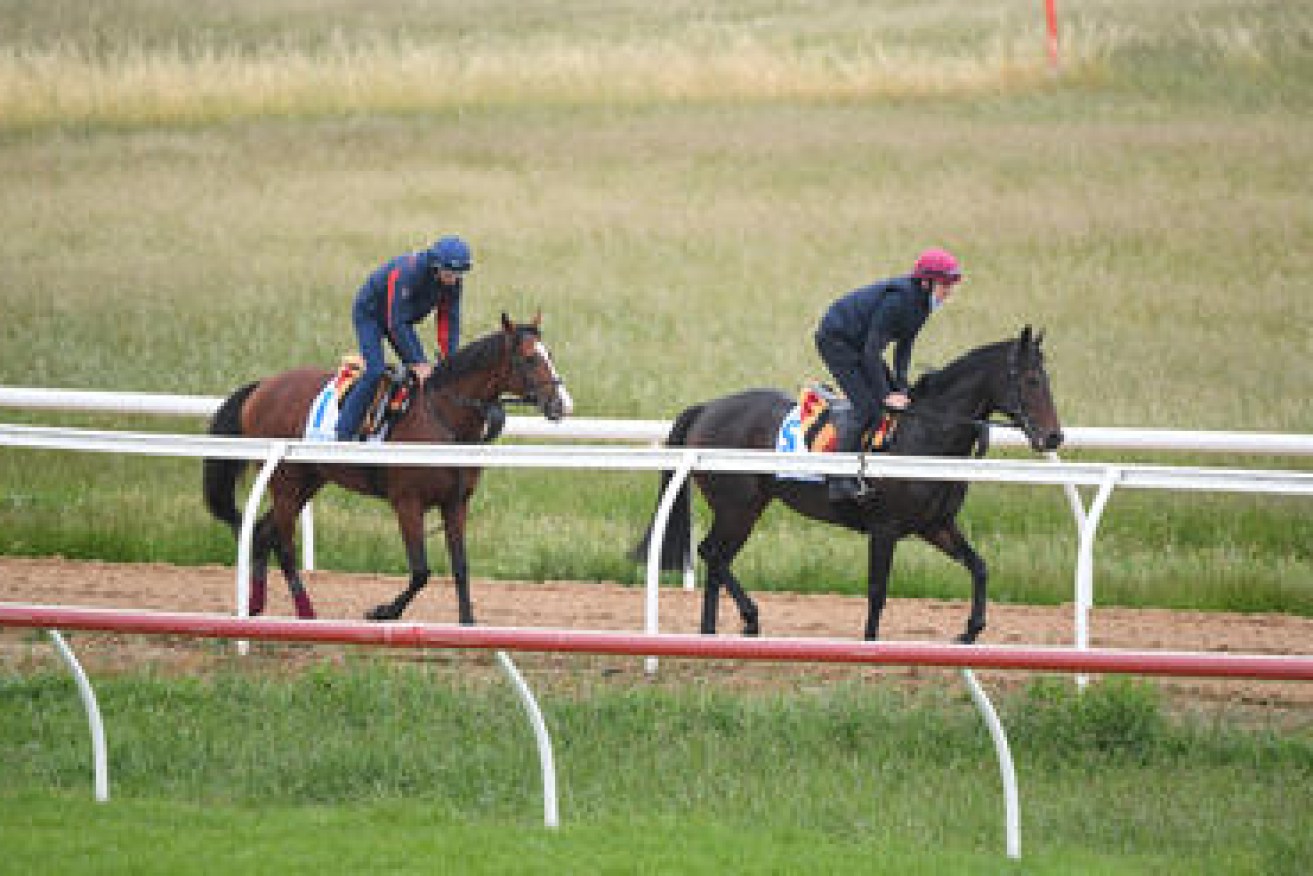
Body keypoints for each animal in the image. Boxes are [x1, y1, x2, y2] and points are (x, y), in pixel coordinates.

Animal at [202, 313, 572, 622]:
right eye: (530, 358)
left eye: (550, 354)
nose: (562, 405)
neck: (443, 418)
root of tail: (261, 386)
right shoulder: (407, 501)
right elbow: (421, 571)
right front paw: (384, 612)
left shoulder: (455, 502)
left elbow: (461, 567)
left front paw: (468, 624)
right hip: (286, 481)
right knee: (284, 544)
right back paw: (305, 614)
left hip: (308, 481)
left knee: (265, 533)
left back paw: (256, 607)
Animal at [638, 328, 1066, 643]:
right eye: (1031, 380)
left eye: (1048, 379)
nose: (1054, 437)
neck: (923, 435)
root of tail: (707, 408)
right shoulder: (885, 528)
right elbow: (877, 589)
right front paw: (871, 642)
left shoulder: (935, 525)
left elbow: (979, 567)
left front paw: (970, 631)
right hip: (737, 506)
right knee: (713, 553)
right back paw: (747, 618)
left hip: (747, 506)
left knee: (717, 556)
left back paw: (714, 630)